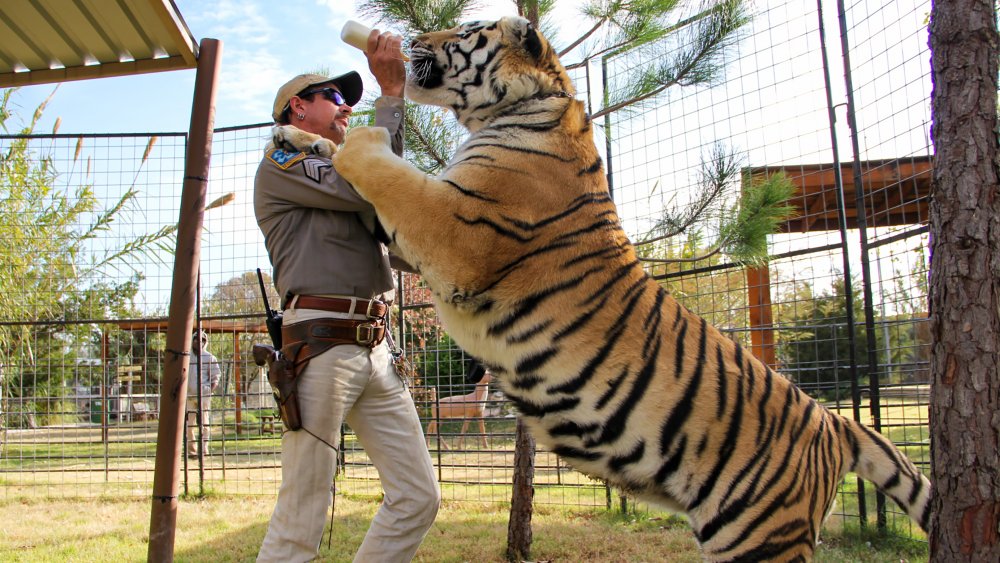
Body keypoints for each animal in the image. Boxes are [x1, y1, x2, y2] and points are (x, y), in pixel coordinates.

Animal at [274, 15, 928, 560]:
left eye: (462, 29)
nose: (409, 40)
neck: (522, 107)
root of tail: (833, 423)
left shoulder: (452, 230)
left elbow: (382, 166)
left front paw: (351, 137)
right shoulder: (419, 242)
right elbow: (345, 164)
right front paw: (297, 138)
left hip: (759, 536)